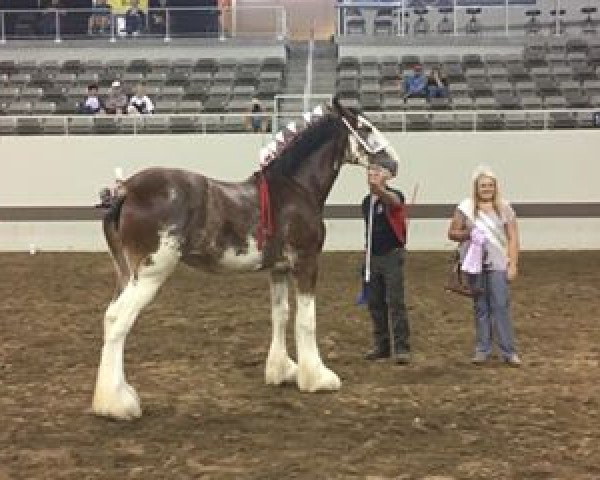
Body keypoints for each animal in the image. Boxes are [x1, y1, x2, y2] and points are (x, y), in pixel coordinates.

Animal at [92, 95, 398, 418]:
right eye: (366, 128)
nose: (393, 163)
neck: (294, 189)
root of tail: (125, 190)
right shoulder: (306, 263)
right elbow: (306, 319)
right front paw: (318, 378)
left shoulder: (278, 269)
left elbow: (281, 314)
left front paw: (282, 371)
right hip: (150, 274)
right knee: (119, 320)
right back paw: (118, 404)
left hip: (128, 273)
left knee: (110, 317)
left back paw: (115, 396)